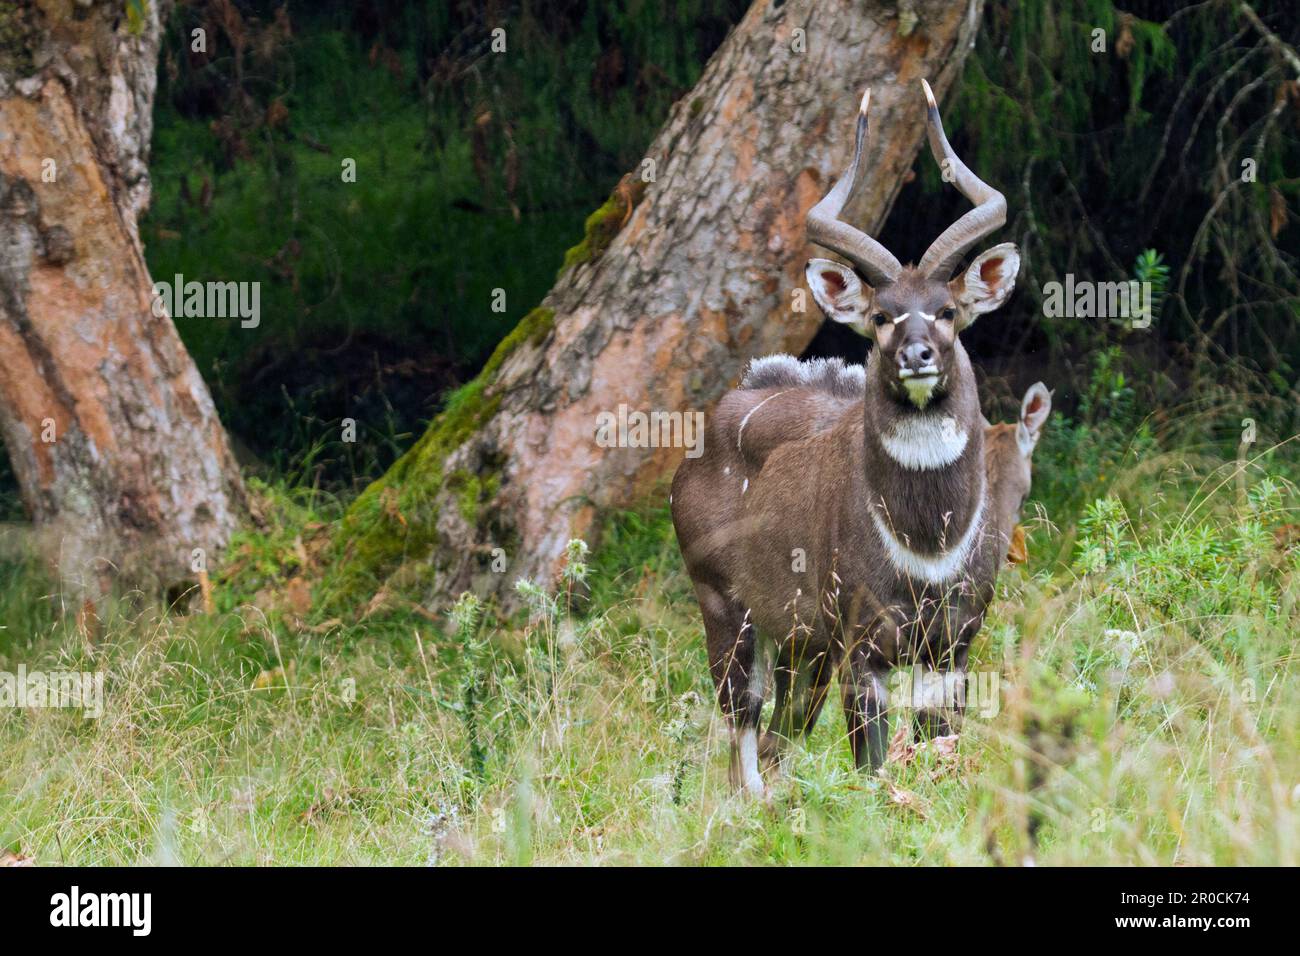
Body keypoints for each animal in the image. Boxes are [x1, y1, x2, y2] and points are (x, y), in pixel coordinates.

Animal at [676, 82, 1050, 796]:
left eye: (948, 311)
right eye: (880, 316)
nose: (916, 355)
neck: (927, 542)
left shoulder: (951, 649)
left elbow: (936, 751)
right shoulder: (862, 648)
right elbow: (874, 771)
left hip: (799, 649)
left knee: (781, 730)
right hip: (726, 611)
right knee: (744, 726)